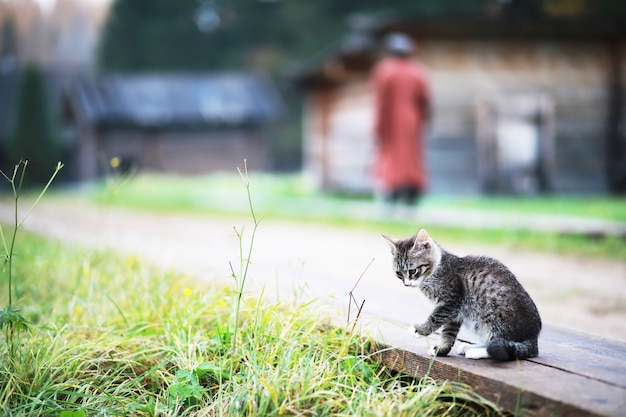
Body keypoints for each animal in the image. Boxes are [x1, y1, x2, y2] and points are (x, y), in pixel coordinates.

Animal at [382, 229, 540, 360]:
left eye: (412, 271)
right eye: (398, 274)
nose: (407, 284)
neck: (437, 269)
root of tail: (533, 336)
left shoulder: (451, 301)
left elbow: (435, 317)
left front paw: (419, 330)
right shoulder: (454, 313)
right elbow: (448, 333)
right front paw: (441, 350)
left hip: (493, 316)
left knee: (501, 345)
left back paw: (477, 351)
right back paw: (470, 346)